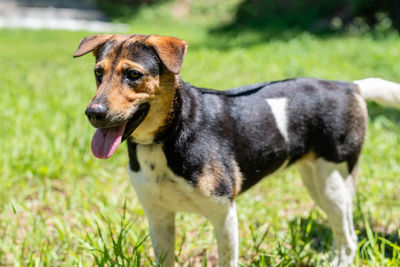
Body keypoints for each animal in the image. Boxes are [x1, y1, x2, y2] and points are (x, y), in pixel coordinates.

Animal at [73, 34, 400, 266]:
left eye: (133, 75)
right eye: (98, 73)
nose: (93, 113)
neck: (169, 135)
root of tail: (350, 86)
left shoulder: (224, 215)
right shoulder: (159, 217)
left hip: (333, 181)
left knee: (349, 238)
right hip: (318, 183)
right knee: (340, 231)